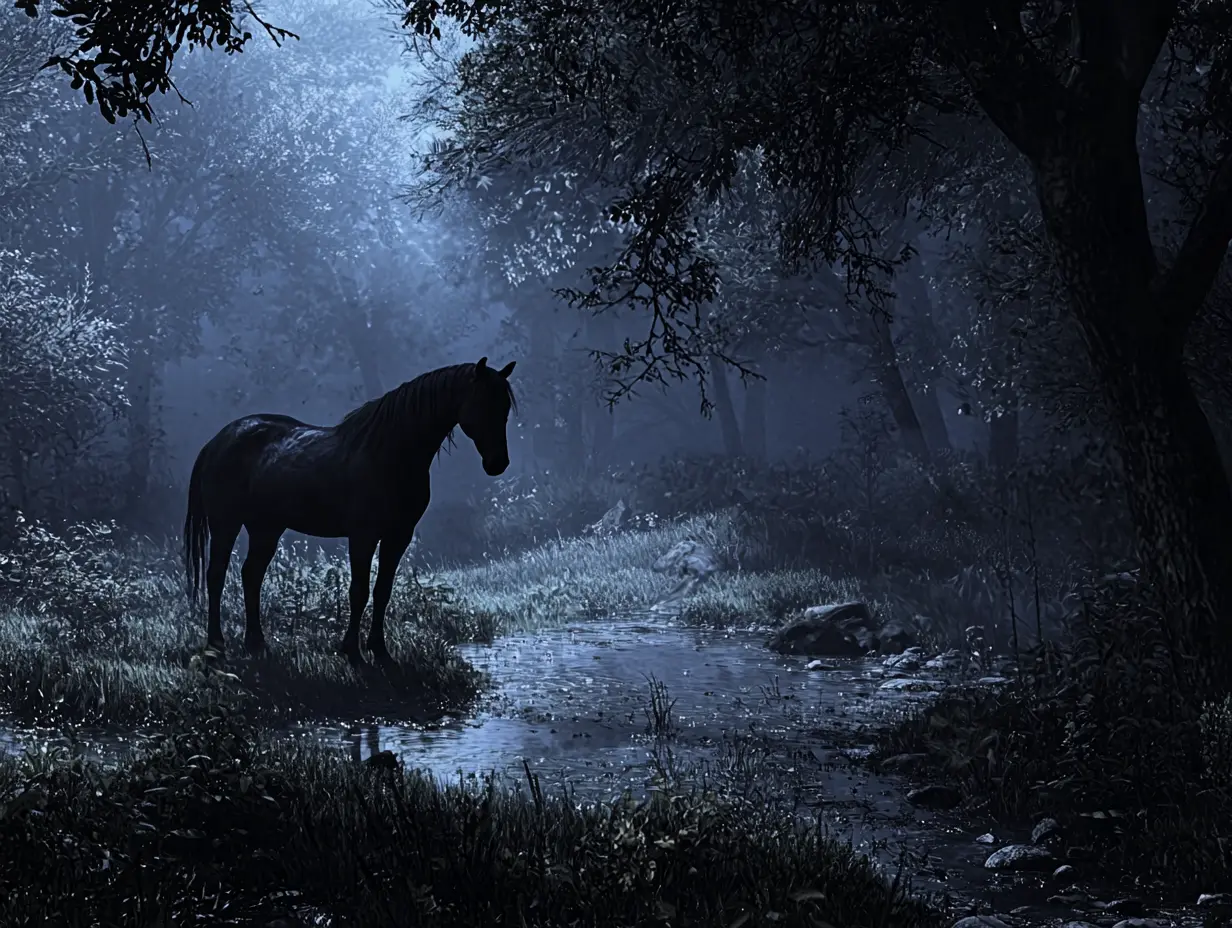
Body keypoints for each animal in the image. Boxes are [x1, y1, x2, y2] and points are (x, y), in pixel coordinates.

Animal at [182, 357, 517, 665]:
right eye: (482, 403)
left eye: (505, 408)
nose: (497, 463)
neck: (390, 454)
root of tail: (218, 440)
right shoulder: (362, 536)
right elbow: (359, 591)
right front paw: (352, 652)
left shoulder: (398, 536)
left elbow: (383, 591)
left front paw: (381, 652)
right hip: (226, 524)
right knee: (216, 575)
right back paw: (216, 645)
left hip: (265, 528)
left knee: (251, 575)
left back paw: (256, 645)